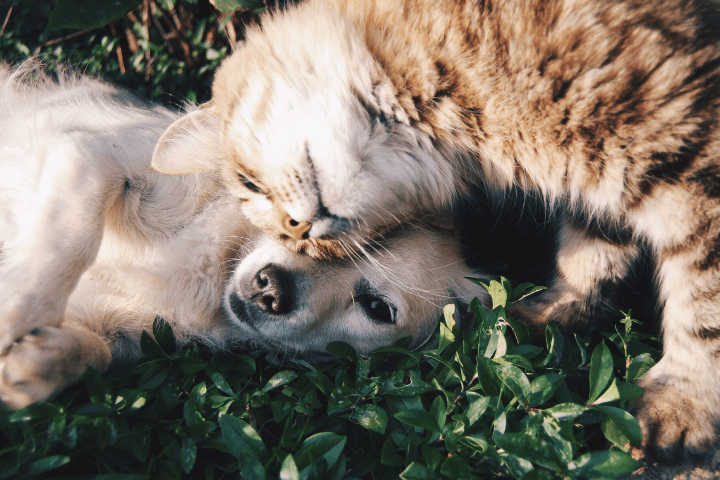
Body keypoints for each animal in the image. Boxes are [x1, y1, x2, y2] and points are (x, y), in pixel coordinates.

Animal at [0, 63, 490, 408]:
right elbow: (67, 242)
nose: (270, 289)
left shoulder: (127, 335)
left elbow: (97, 353)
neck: (214, 267)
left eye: (377, 309)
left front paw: (36, 365)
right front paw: (15, 311)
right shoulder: (91, 153)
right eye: (308, 221)